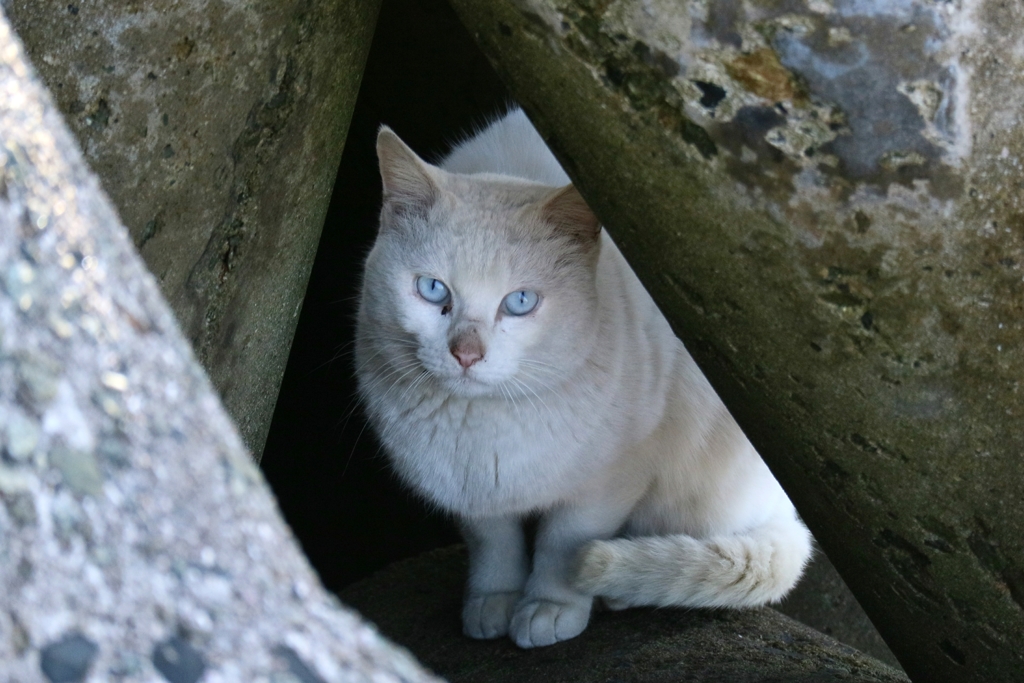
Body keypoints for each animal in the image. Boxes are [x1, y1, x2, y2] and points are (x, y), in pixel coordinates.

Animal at [356, 107, 811, 647]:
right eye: (431, 289)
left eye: (521, 302)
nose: (466, 353)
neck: (483, 427)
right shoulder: (468, 490)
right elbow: (494, 543)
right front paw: (492, 602)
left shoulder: (612, 476)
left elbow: (564, 543)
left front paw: (549, 607)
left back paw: (620, 591)